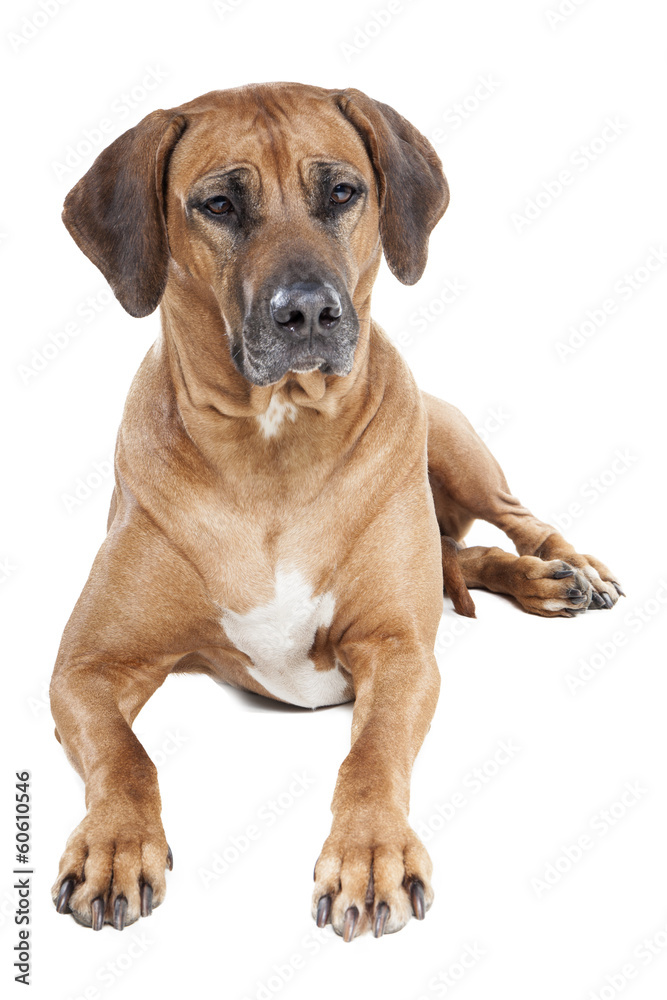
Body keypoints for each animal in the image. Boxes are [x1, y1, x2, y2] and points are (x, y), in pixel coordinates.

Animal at [49, 82, 624, 940]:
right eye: (219, 204)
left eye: (342, 193)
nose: (307, 314)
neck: (273, 445)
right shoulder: (86, 667)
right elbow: (126, 754)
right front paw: (115, 845)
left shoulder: (400, 648)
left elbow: (372, 754)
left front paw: (370, 854)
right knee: (460, 555)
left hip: (450, 438)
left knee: (512, 516)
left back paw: (565, 568)